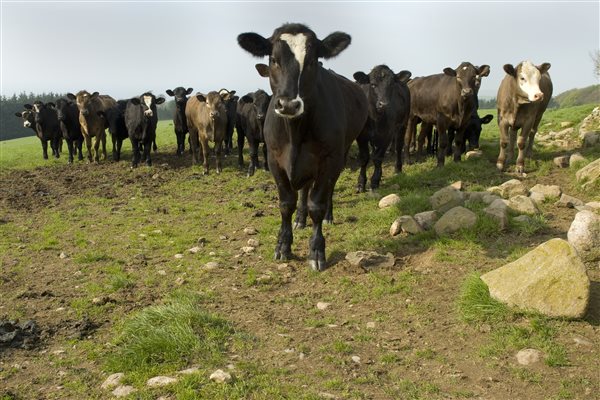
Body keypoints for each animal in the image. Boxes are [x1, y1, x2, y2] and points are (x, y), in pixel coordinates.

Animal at [237, 22, 368, 272]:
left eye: (312, 61)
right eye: (274, 59)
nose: (289, 104)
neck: (294, 133)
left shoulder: (330, 159)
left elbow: (317, 203)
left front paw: (316, 250)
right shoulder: (274, 160)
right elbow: (286, 203)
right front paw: (283, 245)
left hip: (343, 151)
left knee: (326, 191)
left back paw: (328, 215)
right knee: (304, 190)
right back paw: (300, 218)